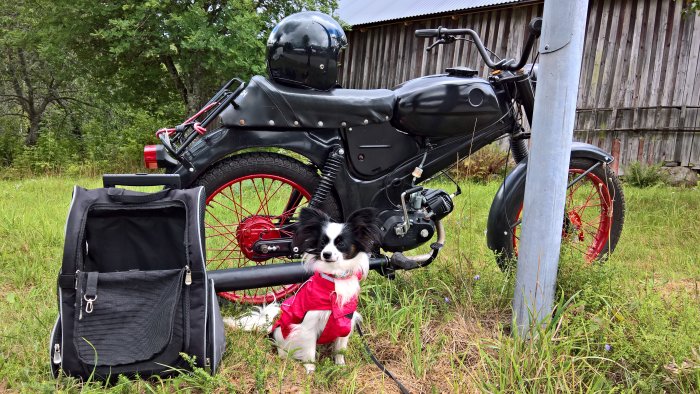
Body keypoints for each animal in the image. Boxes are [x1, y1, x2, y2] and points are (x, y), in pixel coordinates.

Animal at [226, 206, 380, 372]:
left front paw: (340, 367)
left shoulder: (345, 322)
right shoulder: (309, 326)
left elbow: (340, 349)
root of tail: (271, 325)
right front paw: (310, 370)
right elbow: (310, 351)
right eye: (322, 242)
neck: (335, 278)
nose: (326, 254)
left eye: (341, 243)